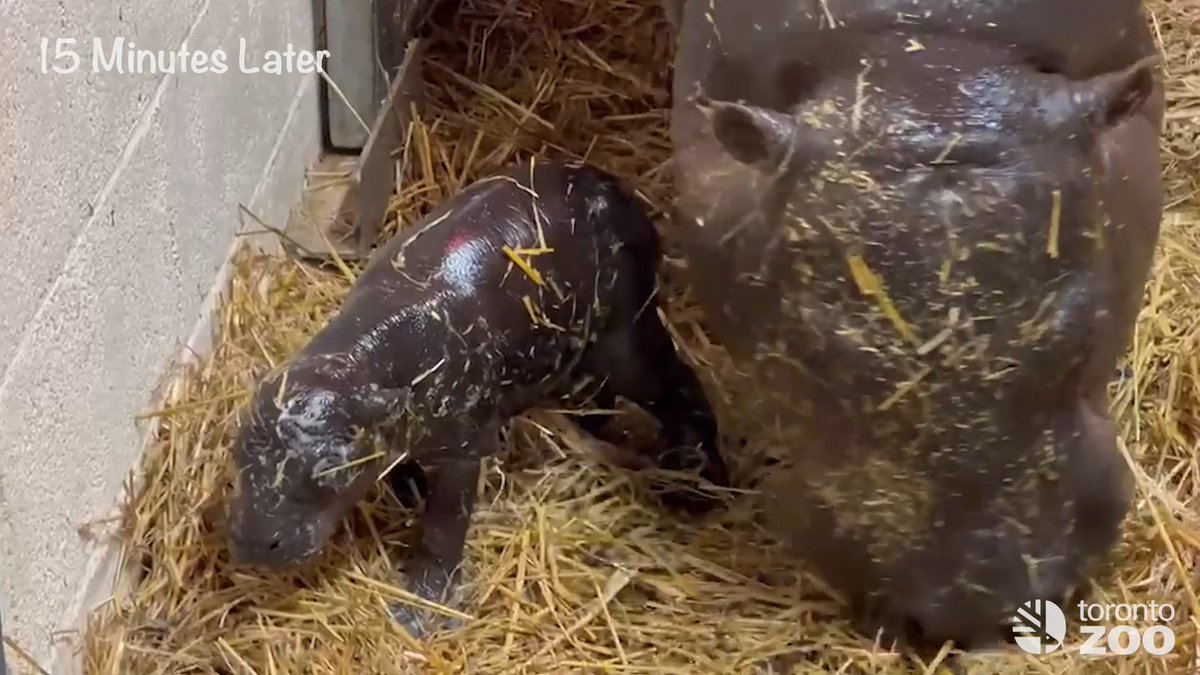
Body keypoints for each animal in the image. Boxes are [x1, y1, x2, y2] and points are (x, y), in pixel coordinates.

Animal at [226, 159, 730, 638]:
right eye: (237, 449)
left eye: (332, 466)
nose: (252, 542)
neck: (360, 359)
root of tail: (621, 193)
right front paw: (406, 499)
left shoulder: (461, 449)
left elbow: (445, 526)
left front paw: (419, 612)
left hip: (624, 338)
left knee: (678, 386)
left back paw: (695, 485)